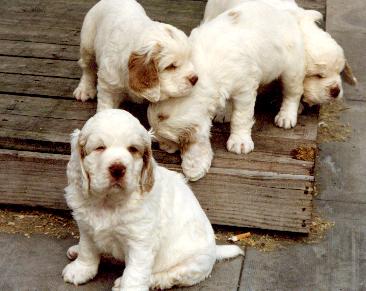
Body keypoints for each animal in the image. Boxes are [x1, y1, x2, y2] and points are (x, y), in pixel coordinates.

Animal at [62, 110, 243, 291]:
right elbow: (87, 249)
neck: (108, 200)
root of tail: (215, 251)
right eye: (100, 148)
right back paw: (76, 250)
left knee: (169, 276)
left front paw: (128, 286)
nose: (118, 169)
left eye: (133, 149)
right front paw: (80, 270)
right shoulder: (86, 227)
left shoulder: (140, 241)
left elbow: (135, 272)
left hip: (191, 264)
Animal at [147, 1, 308, 181]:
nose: (162, 146)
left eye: (168, 139)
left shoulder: (245, 89)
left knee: (292, 92)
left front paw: (240, 142)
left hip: (292, 67)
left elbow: (241, 117)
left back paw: (287, 116)